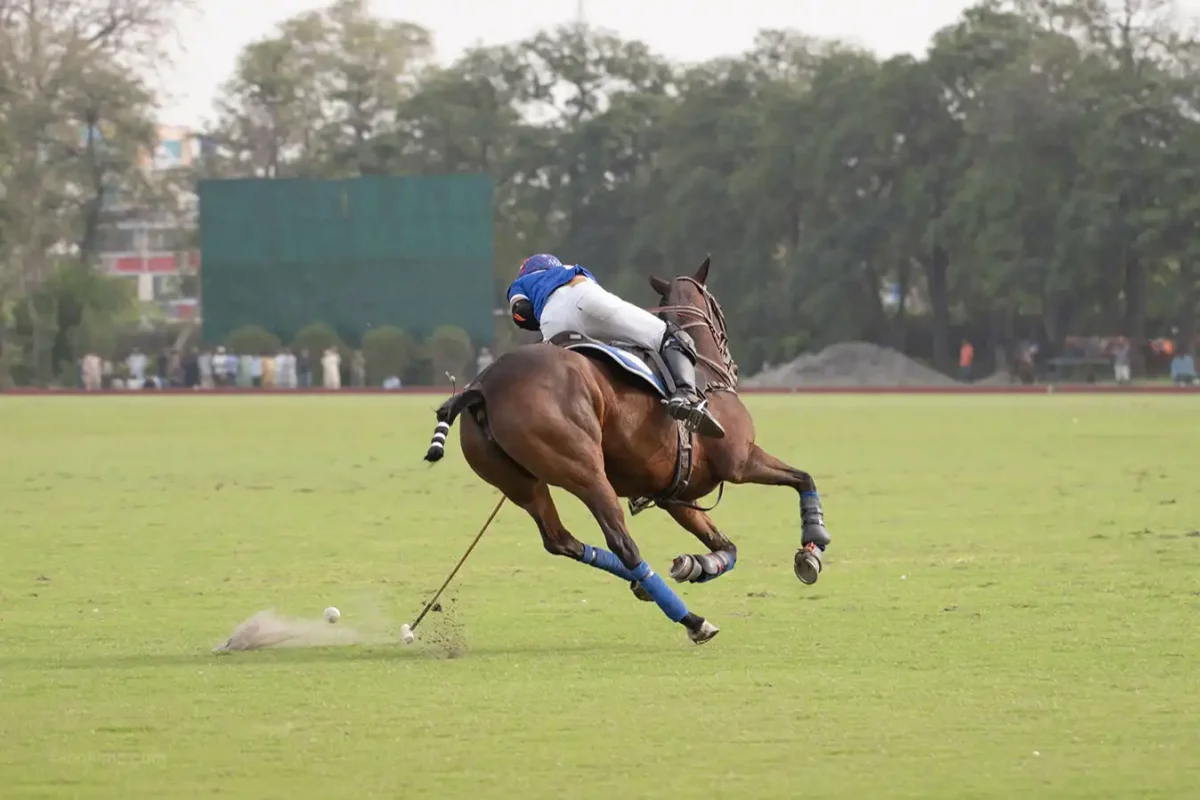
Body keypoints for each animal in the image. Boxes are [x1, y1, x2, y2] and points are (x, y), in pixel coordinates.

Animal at [421, 257, 831, 645]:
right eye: (717, 307)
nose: (732, 364)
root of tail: (482, 386)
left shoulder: (675, 495)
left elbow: (726, 547)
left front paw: (695, 563)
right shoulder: (740, 460)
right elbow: (803, 478)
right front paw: (813, 548)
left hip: (521, 484)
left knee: (561, 541)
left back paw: (645, 585)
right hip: (584, 470)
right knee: (622, 543)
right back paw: (691, 620)